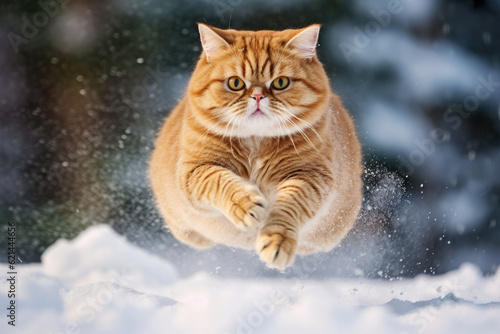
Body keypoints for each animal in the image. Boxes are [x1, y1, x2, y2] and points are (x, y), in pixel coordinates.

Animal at [149, 22, 364, 268]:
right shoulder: (194, 170)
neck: (255, 142)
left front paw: (277, 240)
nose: (259, 96)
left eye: (280, 83)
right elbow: (220, 181)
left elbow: (290, 205)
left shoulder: (310, 174)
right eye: (235, 83)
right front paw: (247, 204)